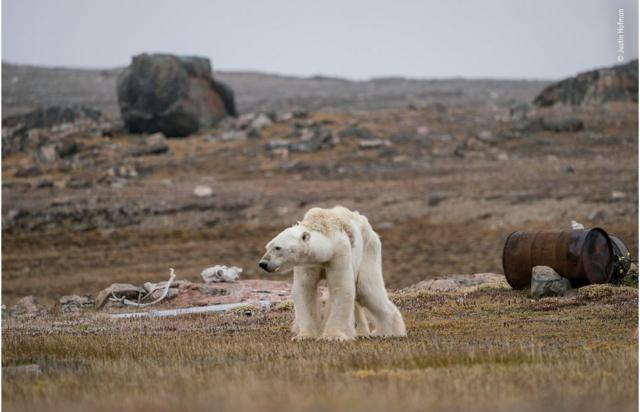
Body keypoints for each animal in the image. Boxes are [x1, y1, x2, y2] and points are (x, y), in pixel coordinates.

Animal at [258, 206, 404, 342]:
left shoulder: (339, 253)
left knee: (366, 288)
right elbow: (305, 289)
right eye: (267, 247)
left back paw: (387, 332)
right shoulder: (308, 263)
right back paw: (361, 332)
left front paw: (333, 336)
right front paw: (304, 336)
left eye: (278, 247)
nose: (263, 263)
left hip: (369, 250)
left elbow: (340, 287)